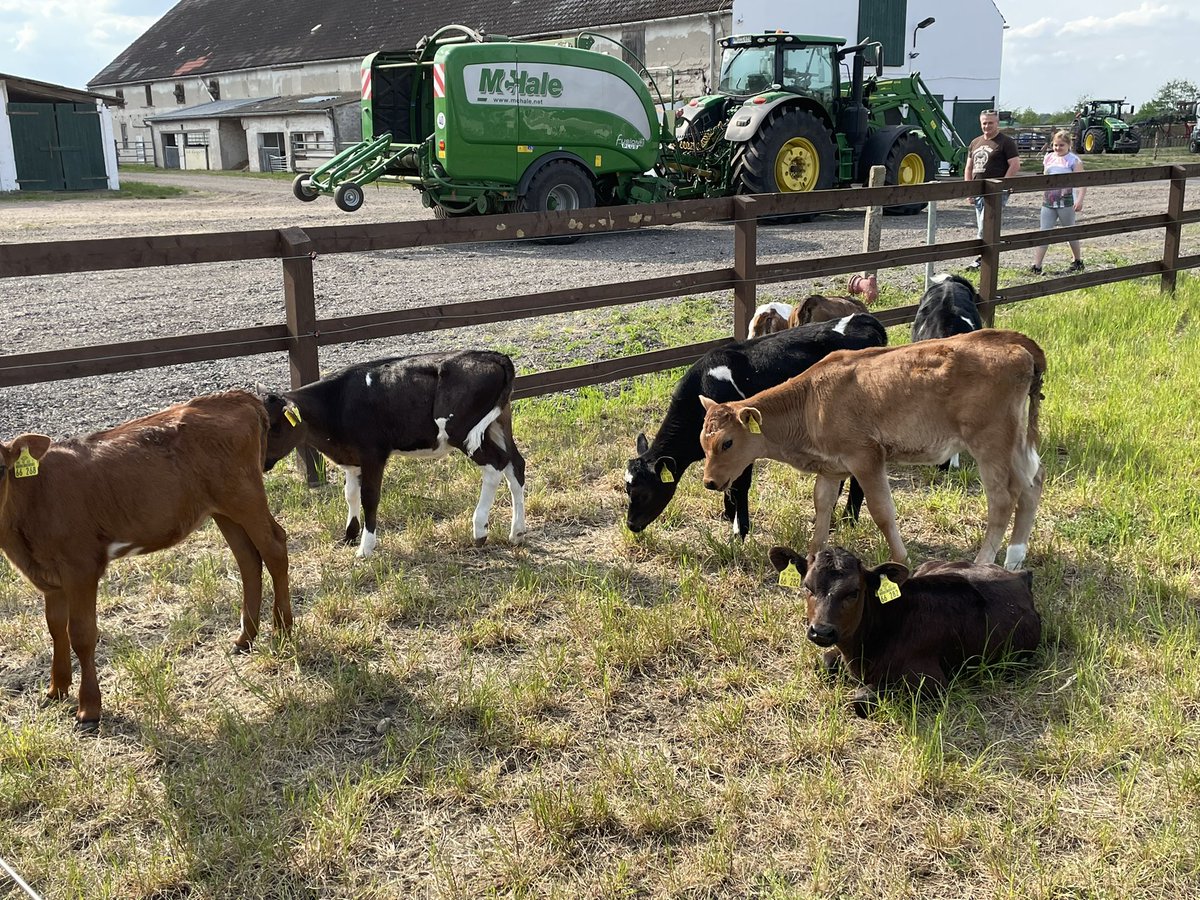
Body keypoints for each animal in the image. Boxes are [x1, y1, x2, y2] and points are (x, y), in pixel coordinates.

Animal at [0, 390, 293, 727]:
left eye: (0, 468)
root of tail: (235, 396)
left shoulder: (81, 567)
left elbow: (82, 634)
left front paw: (89, 708)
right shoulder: (49, 576)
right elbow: (55, 627)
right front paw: (56, 690)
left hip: (244, 495)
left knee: (274, 547)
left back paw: (283, 631)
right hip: (222, 508)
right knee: (247, 558)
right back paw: (245, 638)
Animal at [260, 350, 525, 557]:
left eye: (273, 427)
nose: (259, 464)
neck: (337, 403)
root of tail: (491, 356)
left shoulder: (373, 454)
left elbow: (369, 496)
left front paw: (365, 547)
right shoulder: (352, 457)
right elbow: (350, 494)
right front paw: (349, 535)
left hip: (462, 432)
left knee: (495, 465)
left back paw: (480, 529)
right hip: (499, 423)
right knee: (515, 465)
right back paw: (517, 532)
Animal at [625, 314, 887, 538]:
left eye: (643, 492)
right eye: (627, 489)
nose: (631, 525)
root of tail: (865, 319)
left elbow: (740, 485)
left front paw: (739, 530)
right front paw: (729, 514)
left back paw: (848, 520)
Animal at [699, 329, 1046, 570]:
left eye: (727, 442)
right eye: (703, 442)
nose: (709, 482)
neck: (811, 401)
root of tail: (1010, 342)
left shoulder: (865, 457)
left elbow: (882, 511)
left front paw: (900, 559)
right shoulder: (830, 467)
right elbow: (822, 506)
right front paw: (812, 556)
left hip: (991, 442)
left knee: (1003, 498)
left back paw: (982, 563)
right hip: (1014, 442)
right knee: (1032, 483)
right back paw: (1014, 558)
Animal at [769, 545, 1041, 716]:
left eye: (854, 592)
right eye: (807, 586)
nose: (822, 631)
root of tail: (1019, 574)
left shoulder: (932, 681)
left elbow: (861, 697)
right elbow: (824, 663)